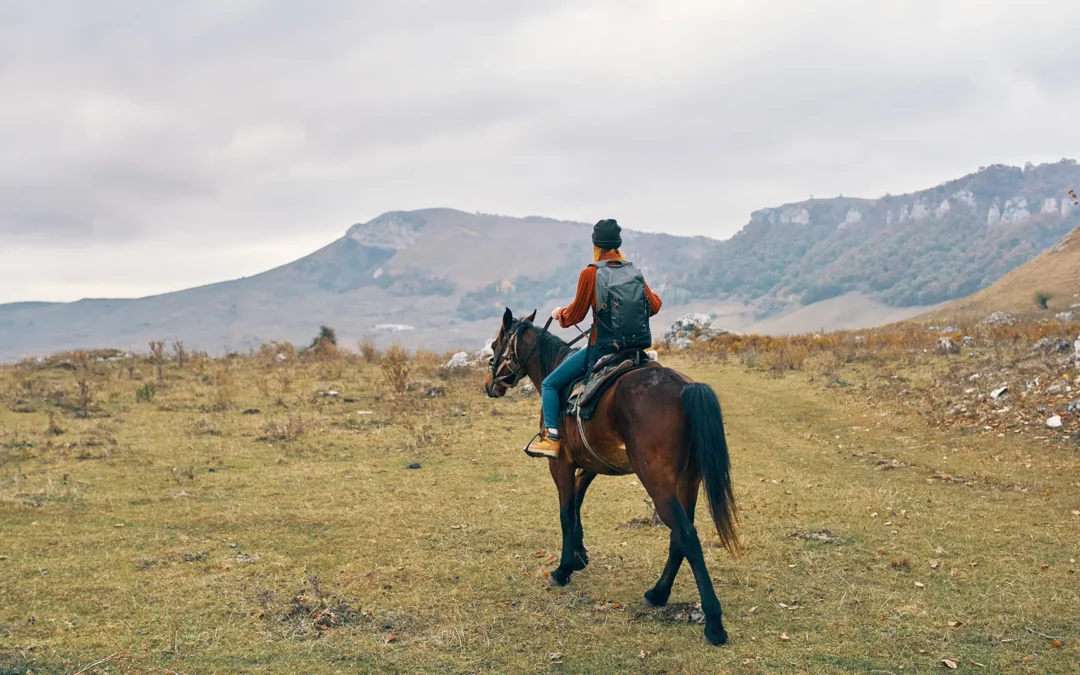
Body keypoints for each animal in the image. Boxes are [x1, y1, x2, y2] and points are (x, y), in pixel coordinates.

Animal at [483, 308, 743, 643]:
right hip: (689, 481)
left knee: (686, 534)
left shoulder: (560, 464)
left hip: (659, 483)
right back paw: (658, 594)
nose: (489, 384)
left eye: (494, 345)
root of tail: (685, 388)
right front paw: (579, 555)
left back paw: (713, 623)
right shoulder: (590, 464)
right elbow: (577, 504)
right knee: (680, 536)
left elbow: (565, 513)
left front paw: (563, 569)